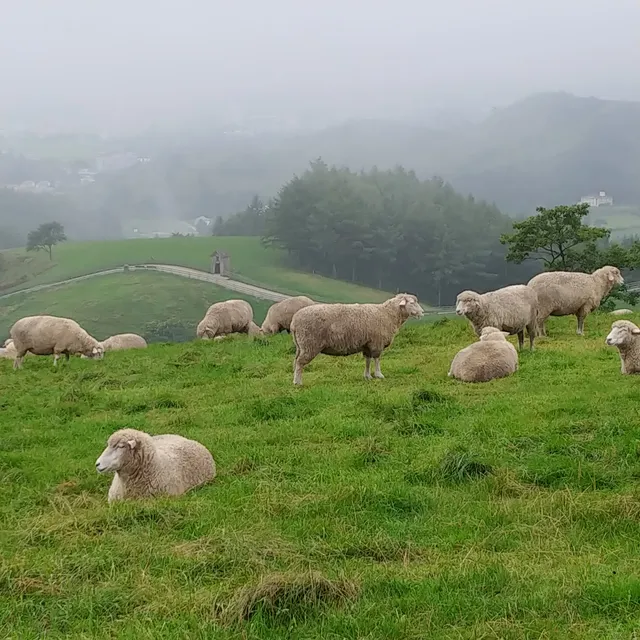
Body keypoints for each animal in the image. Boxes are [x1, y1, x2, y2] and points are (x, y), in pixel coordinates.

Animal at [289, 293, 423, 386]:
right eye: (412, 303)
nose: (422, 312)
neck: (388, 314)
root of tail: (294, 322)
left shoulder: (367, 344)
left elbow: (368, 360)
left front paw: (367, 376)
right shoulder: (377, 343)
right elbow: (377, 359)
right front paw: (379, 374)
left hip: (300, 346)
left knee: (296, 361)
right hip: (309, 344)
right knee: (300, 363)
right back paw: (298, 382)